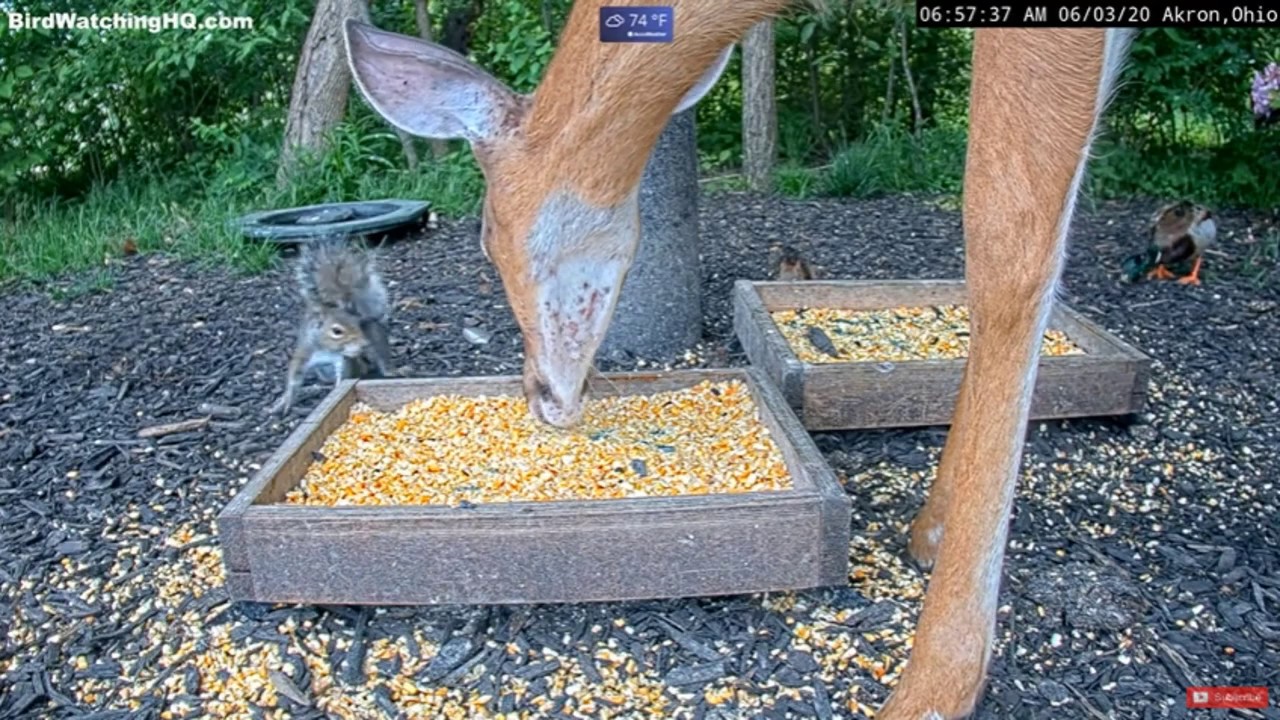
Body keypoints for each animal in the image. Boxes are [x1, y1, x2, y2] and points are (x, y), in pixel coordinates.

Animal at [268, 235, 395, 415]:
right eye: (336, 331)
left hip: (375, 338)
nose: (363, 343)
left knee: (379, 356)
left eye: (358, 324)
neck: (327, 350)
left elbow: (343, 376)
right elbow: (294, 378)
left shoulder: (342, 360)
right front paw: (284, 403)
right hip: (323, 372)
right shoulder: (305, 353)